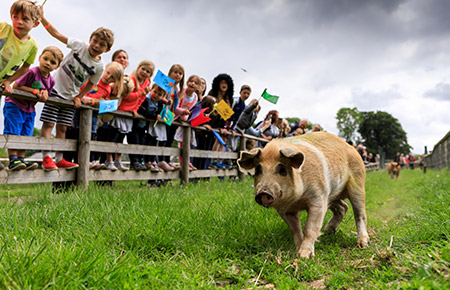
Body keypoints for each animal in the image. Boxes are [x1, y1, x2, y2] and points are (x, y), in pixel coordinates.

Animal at [237, 132, 370, 258]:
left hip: (358, 183)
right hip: (332, 196)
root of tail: (352, 148)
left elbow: (309, 228)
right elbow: (295, 229)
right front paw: (297, 250)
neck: (297, 201)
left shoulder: (318, 199)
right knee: (343, 207)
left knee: (360, 213)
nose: (264, 192)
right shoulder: (286, 211)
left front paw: (304, 256)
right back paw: (327, 231)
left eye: (282, 170)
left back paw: (363, 244)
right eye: (258, 170)